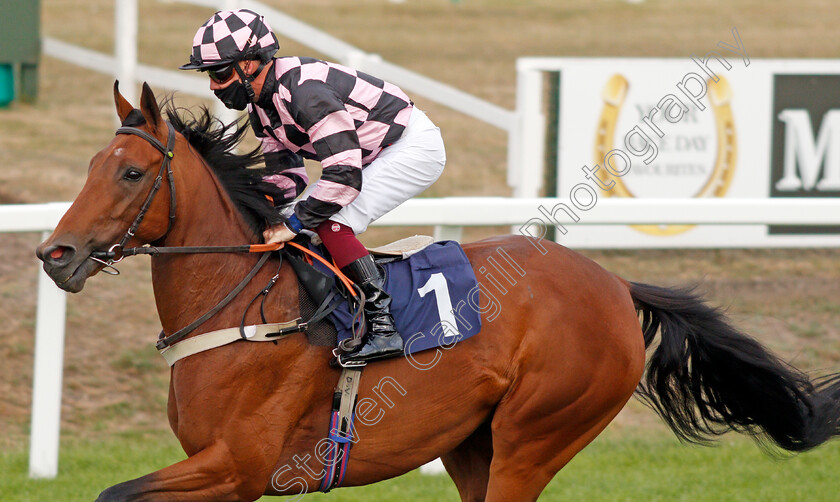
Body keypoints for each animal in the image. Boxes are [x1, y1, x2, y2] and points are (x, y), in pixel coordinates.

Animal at [36, 80, 840, 500]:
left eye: (131, 173)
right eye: (91, 165)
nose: (55, 253)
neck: (244, 308)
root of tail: (613, 282)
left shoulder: (239, 466)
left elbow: (113, 494)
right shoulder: (228, 476)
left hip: (535, 435)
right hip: (471, 443)